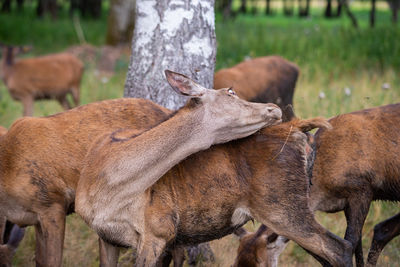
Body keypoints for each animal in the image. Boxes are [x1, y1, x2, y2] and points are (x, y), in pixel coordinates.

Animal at [75, 105, 354, 267]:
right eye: (230, 94)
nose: (273, 109)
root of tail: (296, 129)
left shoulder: (158, 229)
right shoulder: (107, 236)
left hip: (282, 206)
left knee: (339, 247)